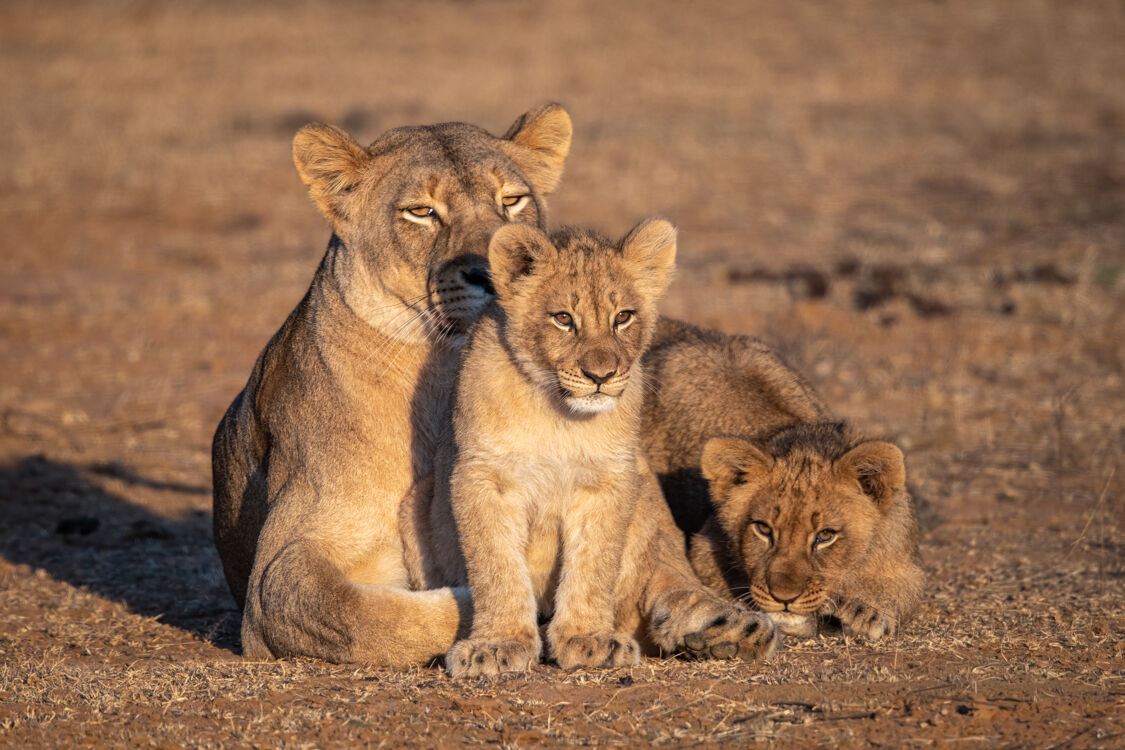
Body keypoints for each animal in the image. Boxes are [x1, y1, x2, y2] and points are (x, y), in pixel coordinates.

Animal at [441, 221, 777, 676]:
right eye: (564, 318)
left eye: (623, 317)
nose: (600, 375)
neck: (558, 416)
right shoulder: (482, 477)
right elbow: (496, 567)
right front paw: (498, 643)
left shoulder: (609, 480)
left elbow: (594, 563)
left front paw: (588, 638)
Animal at [641, 320, 924, 640]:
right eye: (763, 529)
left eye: (825, 535)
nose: (784, 598)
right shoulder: (705, 546)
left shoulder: (905, 560)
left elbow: (904, 587)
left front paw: (865, 610)